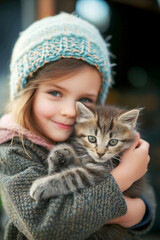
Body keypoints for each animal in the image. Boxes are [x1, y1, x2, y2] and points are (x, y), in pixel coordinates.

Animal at [29, 102, 145, 239]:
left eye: (113, 142)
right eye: (92, 139)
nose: (100, 153)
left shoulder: (98, 169)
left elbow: (70, 176)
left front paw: (42, 186)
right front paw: (59, 156)